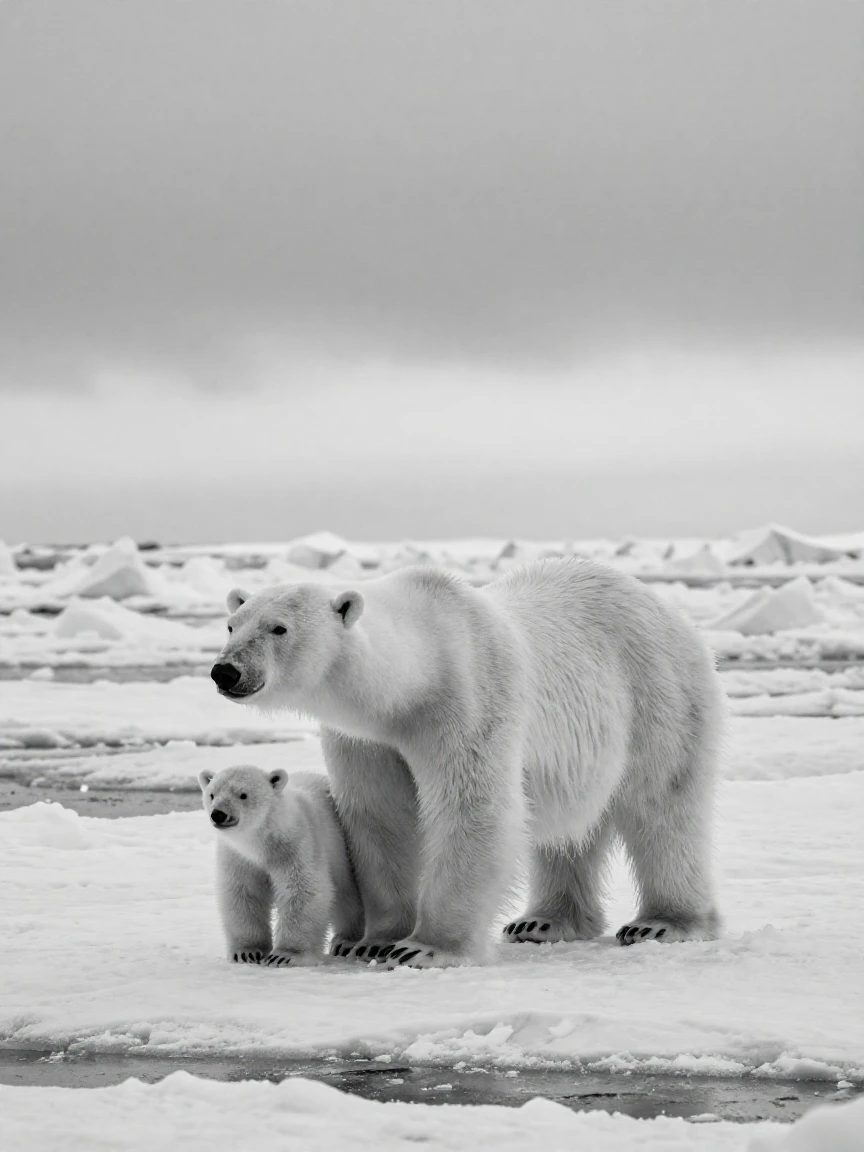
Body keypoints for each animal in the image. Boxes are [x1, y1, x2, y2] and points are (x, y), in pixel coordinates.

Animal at [198, 764, 363, 965]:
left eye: (243, 795)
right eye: (212, 794)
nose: (218, 814)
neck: (262, 842)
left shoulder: (296, 845)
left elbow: (303, 890)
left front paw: (285, 955)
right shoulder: (239, 857)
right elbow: (242, 894)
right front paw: (247, 952)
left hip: (342, 846)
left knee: (347, 892)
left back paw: (346, 941)